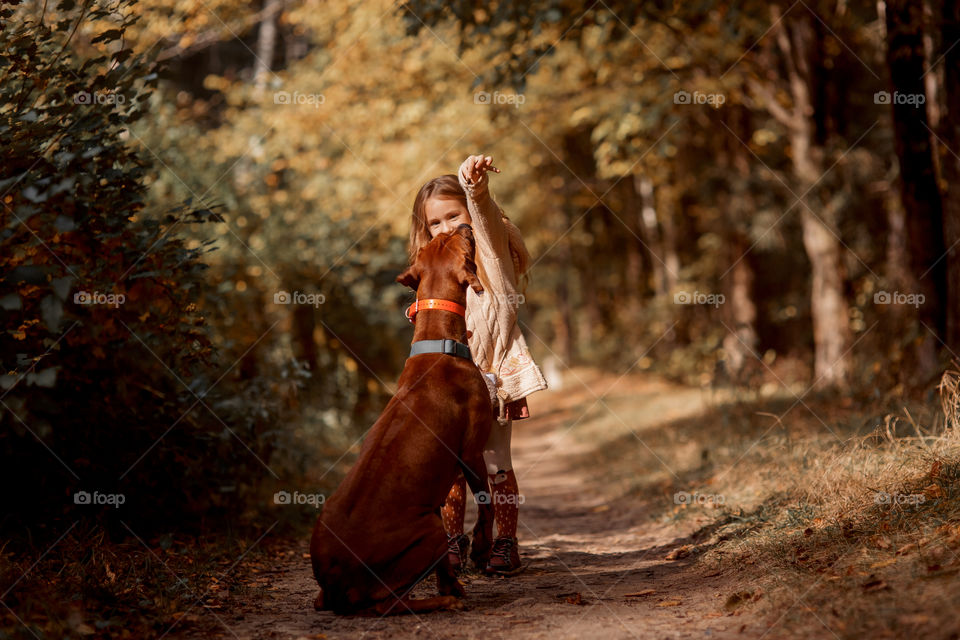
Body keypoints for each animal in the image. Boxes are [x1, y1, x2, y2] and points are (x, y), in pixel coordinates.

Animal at [312, 224, 496, 616]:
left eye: (439, 241)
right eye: (464, 243)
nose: (464, 225)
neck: (437, 342)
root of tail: (335, 584)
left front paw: (458, 577)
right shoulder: (471, 451)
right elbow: (486, 504)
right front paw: (481, 549)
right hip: (426, 531)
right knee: (388, 604)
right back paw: (444, 601)